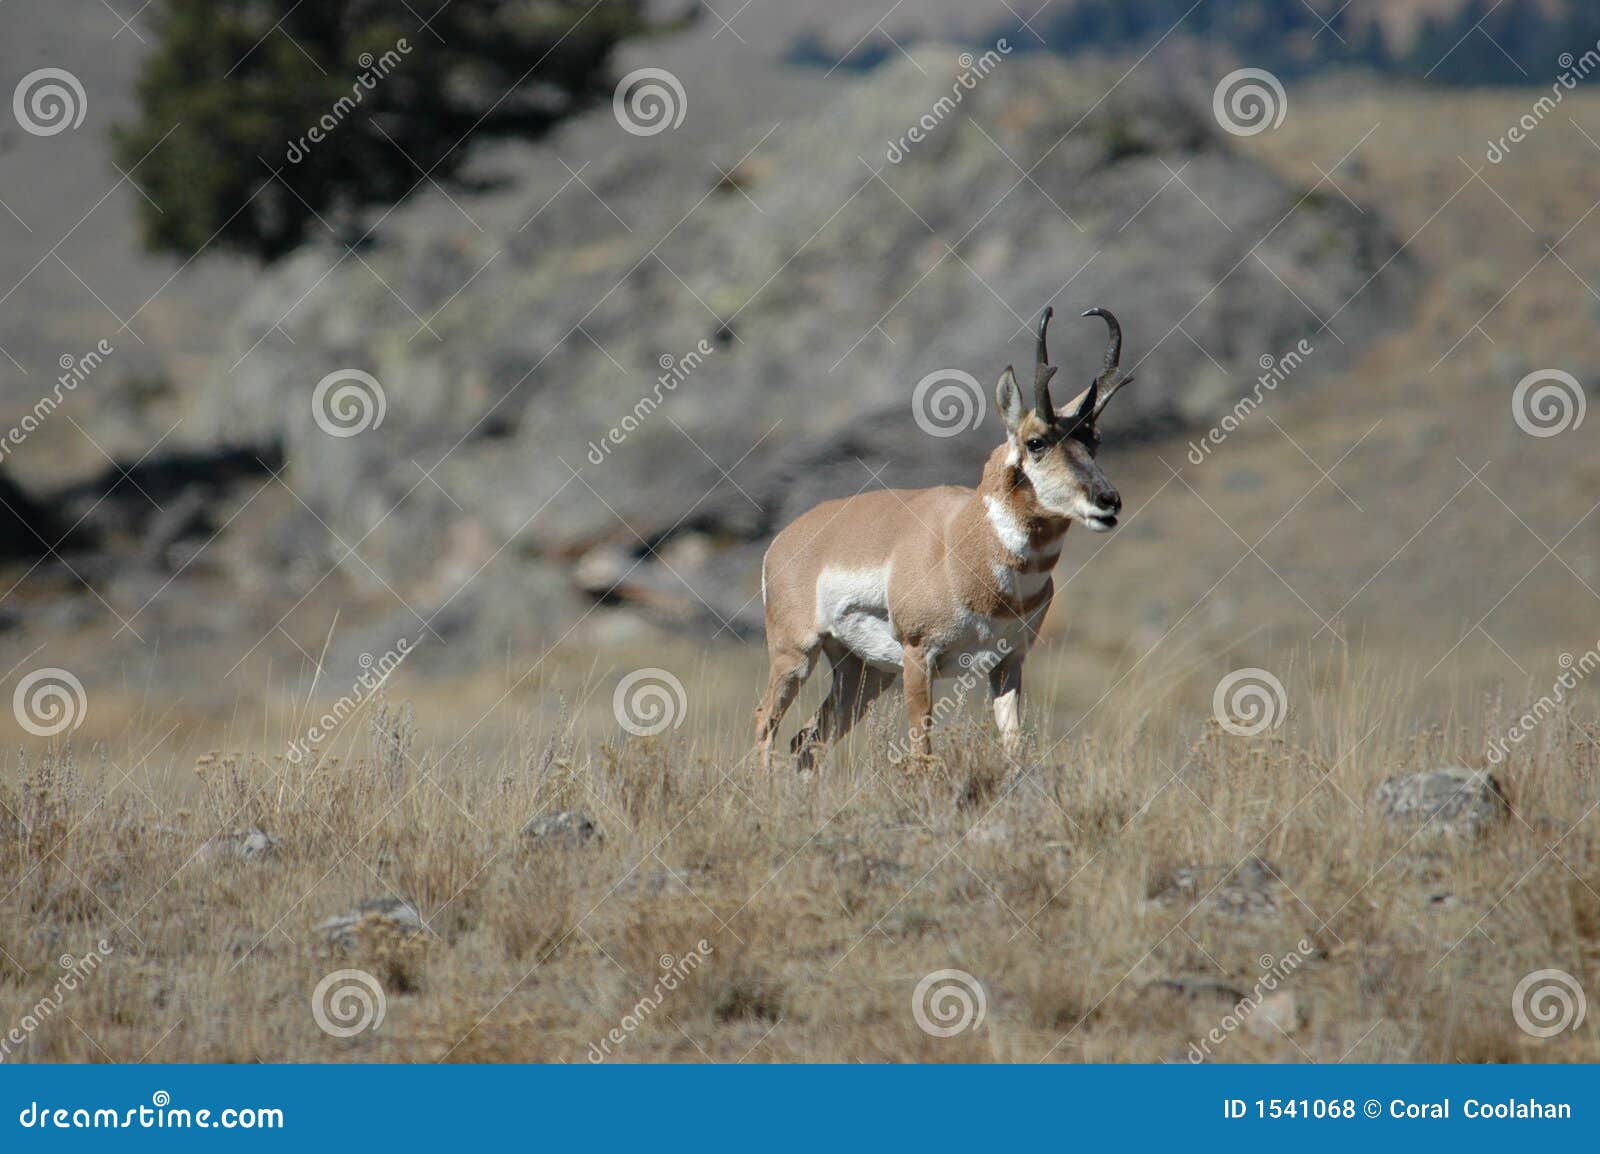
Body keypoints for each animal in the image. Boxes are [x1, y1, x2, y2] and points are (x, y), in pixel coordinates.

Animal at [755, 306, 1134, 771]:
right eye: (1036, 442)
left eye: (1094, 441)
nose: (1108, 501)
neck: (964, 543)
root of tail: (787, 537)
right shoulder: (920, 657)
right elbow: (922, 754)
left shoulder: (1008, 662)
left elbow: (1014, 747)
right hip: (796, 655)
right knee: (765, 723)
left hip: (864, 674)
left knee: (806, 741)